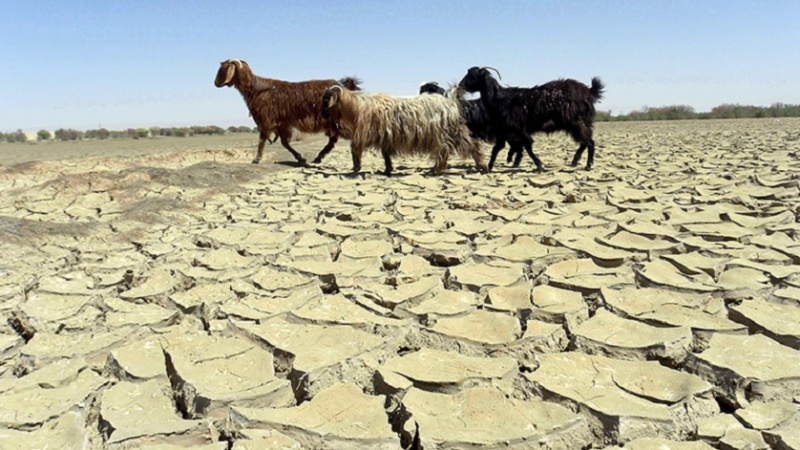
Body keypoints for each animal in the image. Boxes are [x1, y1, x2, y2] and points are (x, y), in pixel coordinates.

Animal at [214, 59, 360, 165]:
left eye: (223, 69)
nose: (215, 83)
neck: (256, 90)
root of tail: (343, 88)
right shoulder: (282, 124)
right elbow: (285, 143)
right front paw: (300, 158)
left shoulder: (265, 120)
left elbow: (262, 139)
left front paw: (256, 159)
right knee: (333, 140)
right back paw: (318, 158)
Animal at [320, 86, 488, 176]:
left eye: (326, 99)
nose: (322, 114)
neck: (357, 108)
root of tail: (450, 102)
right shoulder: (385, 136)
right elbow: (385, 154)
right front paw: (388, 169)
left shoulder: (362, 134)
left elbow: (355, 150)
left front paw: (356, 168)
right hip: (456, 131)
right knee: (472, 145)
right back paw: (482, 166)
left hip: (441, 134)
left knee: (445, 150)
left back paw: (435, 170)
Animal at [460, 66, 604, 171]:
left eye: (472, 76)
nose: (461, 85)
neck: (500, 100)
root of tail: (589, 91)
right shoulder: (504, 131)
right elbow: (497, 148)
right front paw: (489, 167)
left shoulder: (519, 129)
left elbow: (527, 146)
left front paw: (539, 165)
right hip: (578, 124)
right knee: (585, 142)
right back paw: (575, 161)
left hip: (578, 122)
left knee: (589, 142)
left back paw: (587, 165)